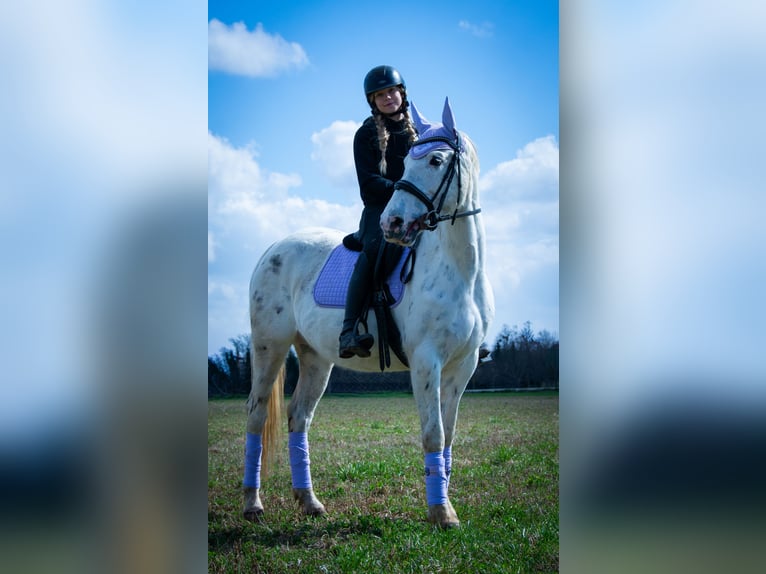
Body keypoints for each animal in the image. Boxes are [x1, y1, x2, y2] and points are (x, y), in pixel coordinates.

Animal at [242, 98, 494, 528]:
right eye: (406, 162)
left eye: (435, 160)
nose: (392, 223)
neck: (461, 270)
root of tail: (274, 247)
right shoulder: (427, 362)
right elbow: (433, 434)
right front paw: (441, 512)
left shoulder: (463, 367)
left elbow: (449, 436)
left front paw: (446, 507)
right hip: (269, 348)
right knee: (257, 416)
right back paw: (253, 504)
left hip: (315, 358)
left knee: (298, 417)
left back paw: (309, 501)